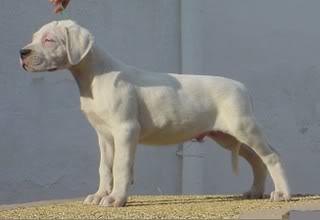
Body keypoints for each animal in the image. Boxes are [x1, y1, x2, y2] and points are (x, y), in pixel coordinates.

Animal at [19, 19, 290, 207]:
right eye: (34, 37)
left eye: (49, 40)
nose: (22, 52)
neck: (95, 76)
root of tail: (242, 87)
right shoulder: (104, 135)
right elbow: (105, 167)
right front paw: (99, 195)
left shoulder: (125, 130)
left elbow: (120, 166)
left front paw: (116, 198)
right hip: (227, 136)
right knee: (257, 159)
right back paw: (255, 191)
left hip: (243, 127)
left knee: (272, 155)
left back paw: (283, 193)